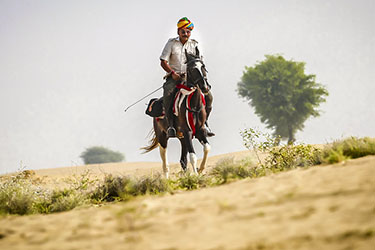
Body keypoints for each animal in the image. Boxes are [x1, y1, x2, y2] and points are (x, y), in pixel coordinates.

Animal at [143, 48, 212, 178]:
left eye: (203, 66)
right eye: (192, 69)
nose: (205, 87)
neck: (194, 105)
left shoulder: (200, 131)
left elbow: (207, 148)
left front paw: (200, 169)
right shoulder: (187, 131)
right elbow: (193, 156)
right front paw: (196, 175)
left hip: (182, 138)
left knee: (182, 160)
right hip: (163, 138)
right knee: (165, 162)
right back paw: (166, 179)